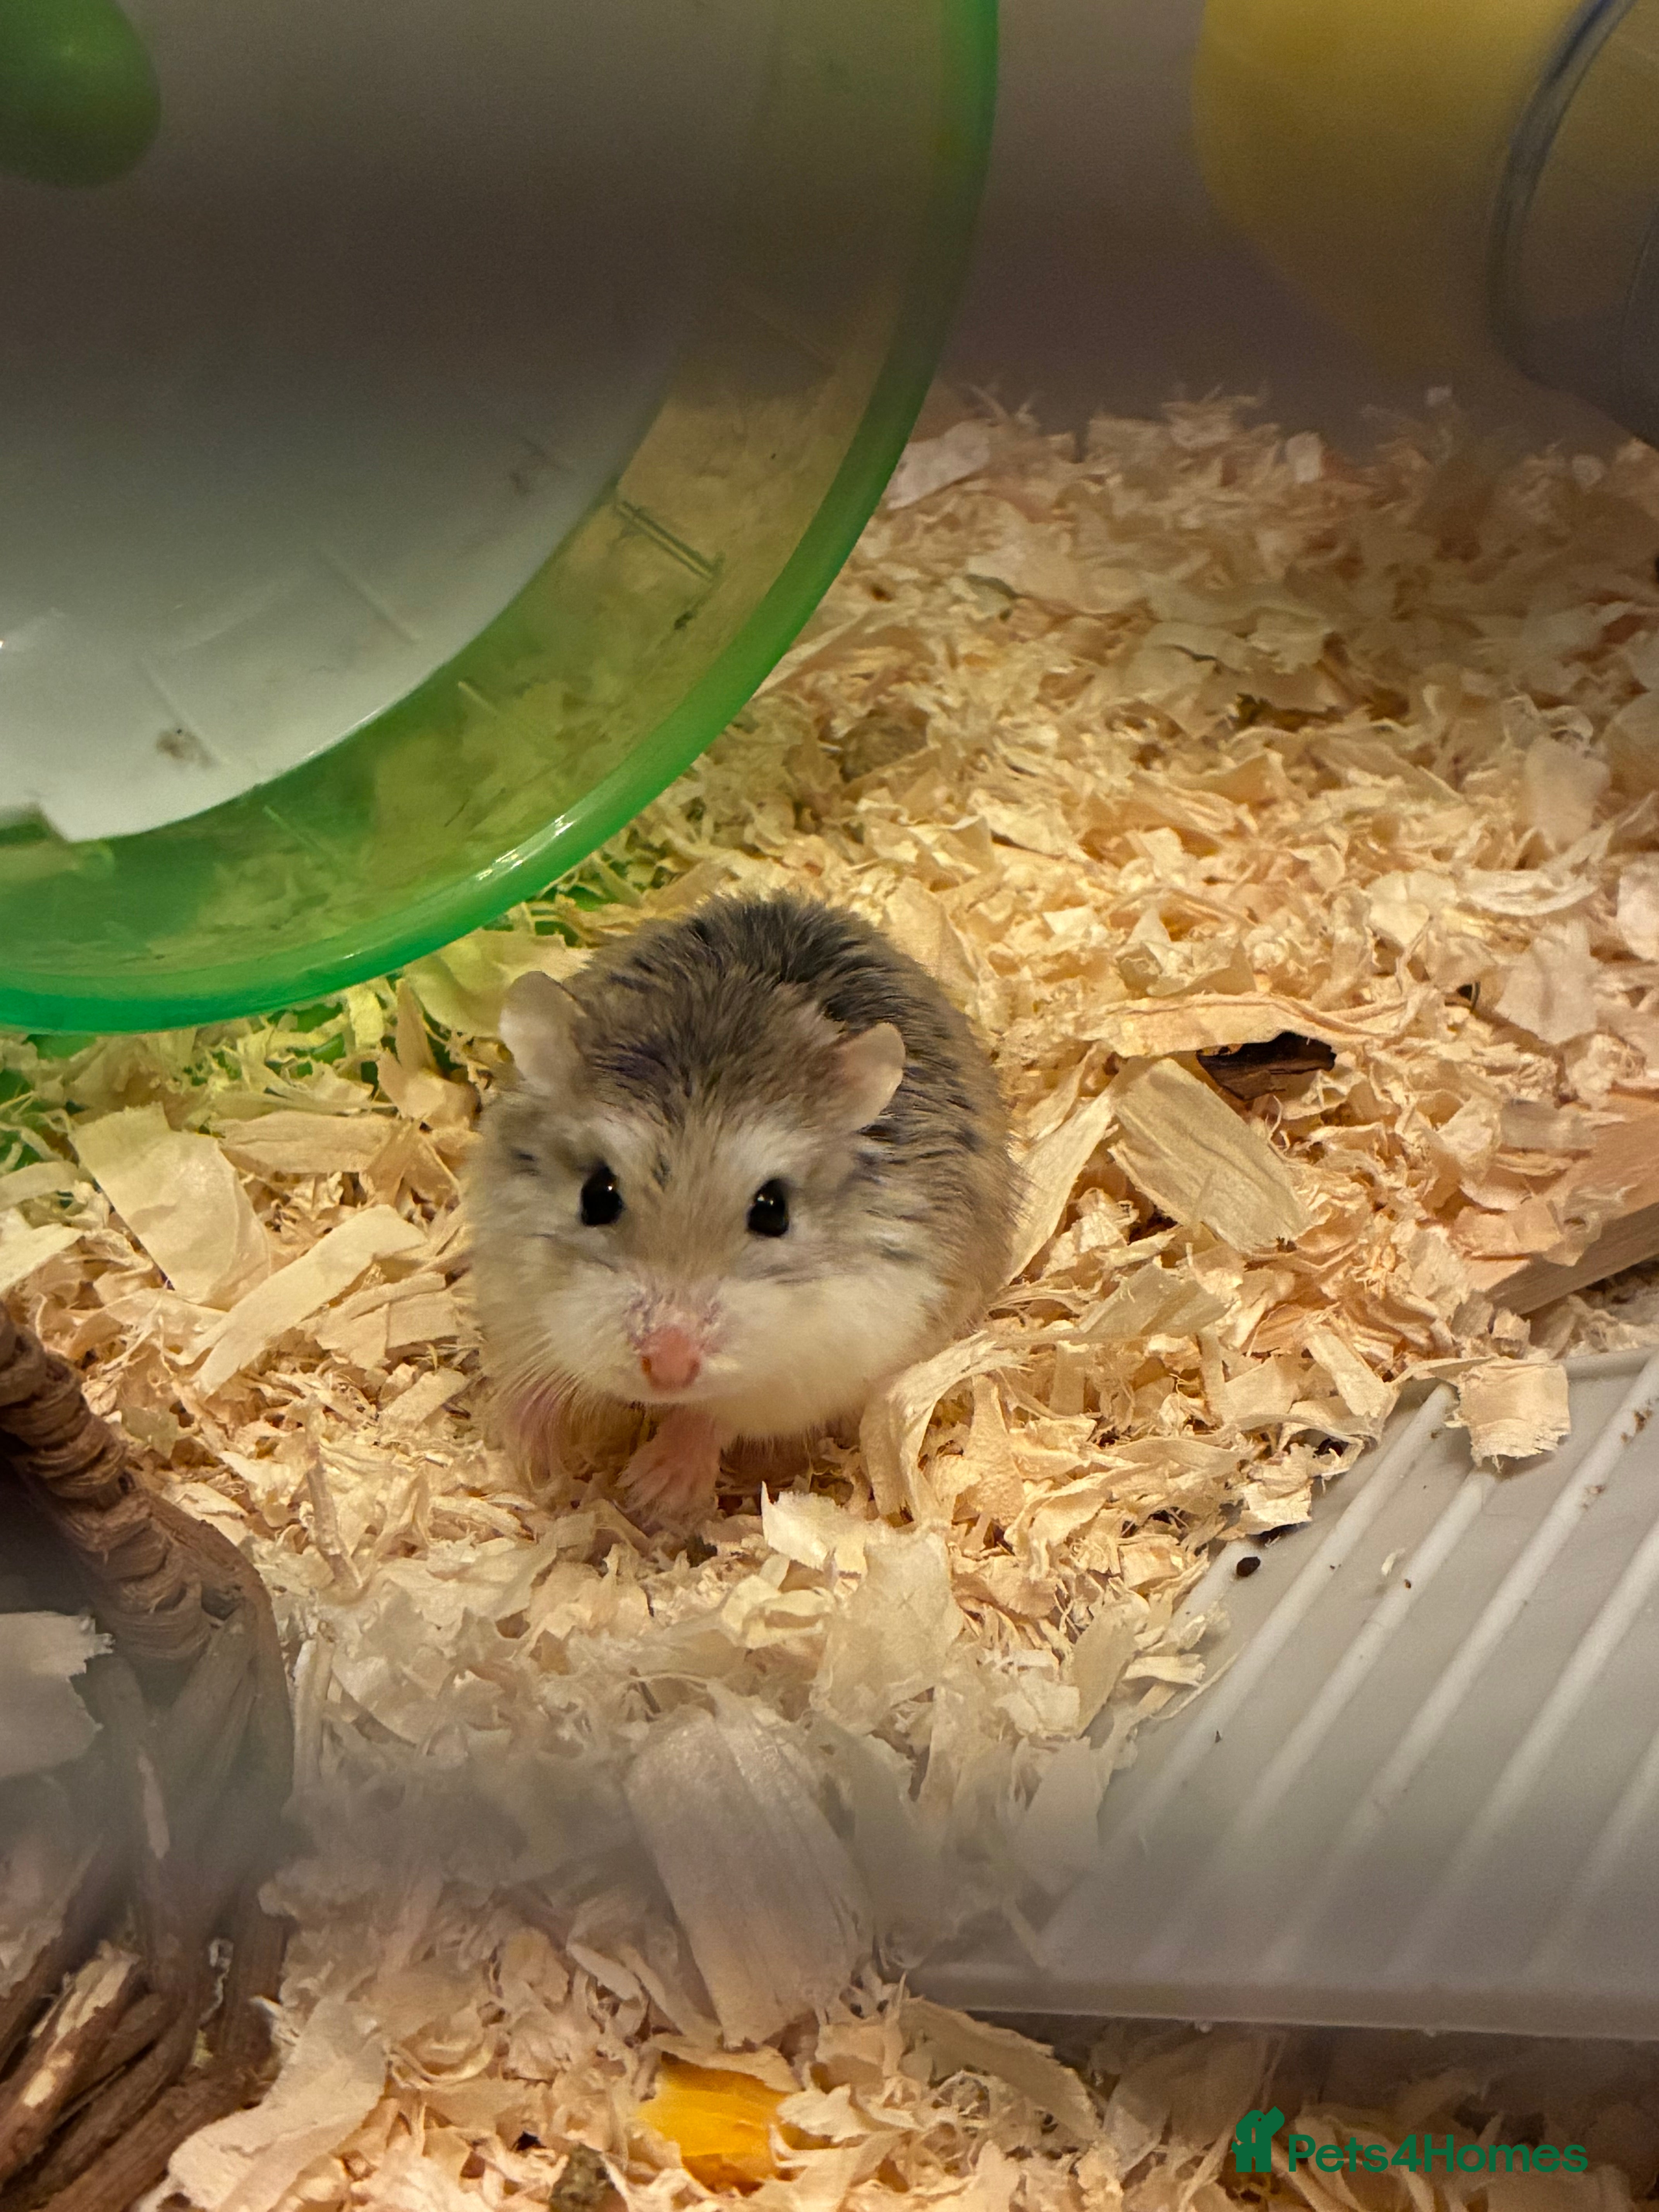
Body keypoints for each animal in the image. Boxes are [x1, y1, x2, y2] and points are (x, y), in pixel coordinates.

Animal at [469, 892, 1020, 1531]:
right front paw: (525, 1449)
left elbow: (718, 1417)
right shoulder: (512, 1297)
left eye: (774, 1211)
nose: (670, 1369)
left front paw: (651, 1490)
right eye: (597, 1196)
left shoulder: (825, 1364)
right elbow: (534, 1379)